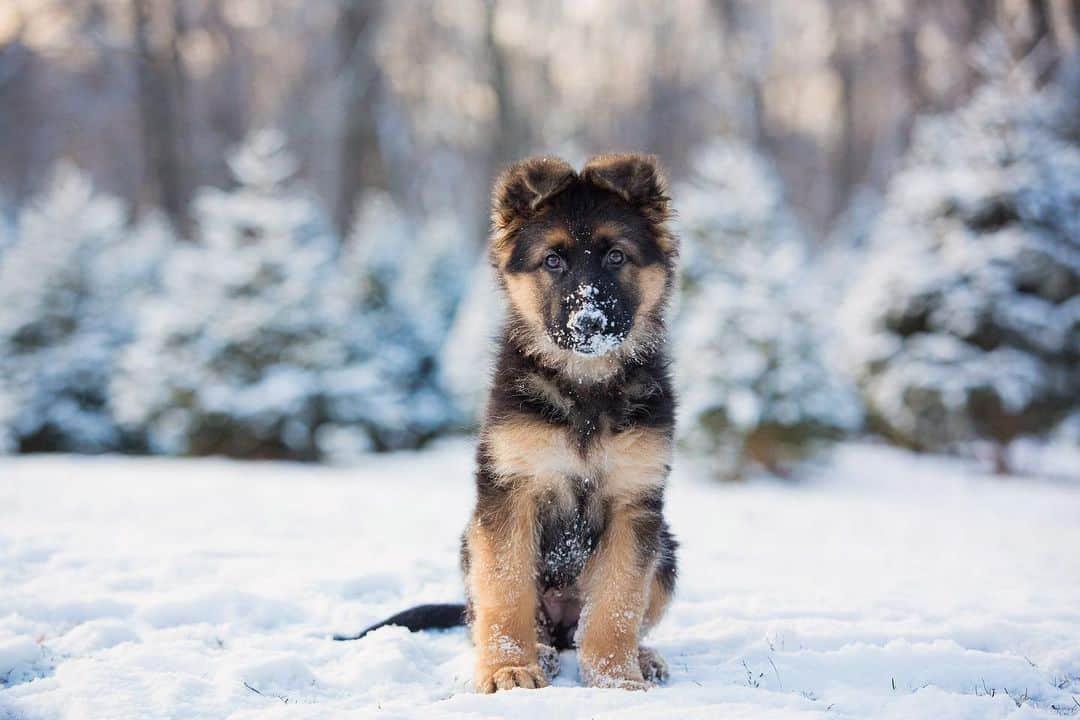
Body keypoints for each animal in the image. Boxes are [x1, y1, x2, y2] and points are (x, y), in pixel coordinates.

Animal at [332, 155, 678, 695]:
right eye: (553, 261)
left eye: (616, 257)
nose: (589, 323)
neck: (584, 391)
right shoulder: (509, 492)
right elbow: (506, 590)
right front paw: (508, 668)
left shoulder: (635, 503)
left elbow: (618, 603)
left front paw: (616, 677)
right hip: (470, 544)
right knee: (491, 617)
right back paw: (541, 653)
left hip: (667, 553)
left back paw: (641, 657)